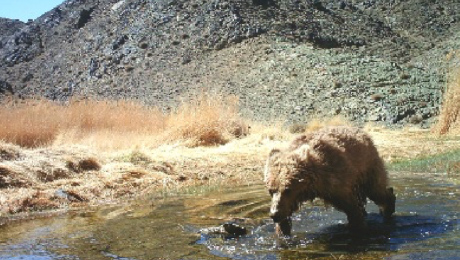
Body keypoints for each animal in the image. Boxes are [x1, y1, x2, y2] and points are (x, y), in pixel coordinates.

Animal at [264, 126, 398, 236]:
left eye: (288, 189)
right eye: (270, 190)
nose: (274, 214)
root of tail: (362, 132)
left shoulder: (335, 180)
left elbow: (351, 207)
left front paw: (358, 226)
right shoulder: (291, 200)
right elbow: (285, 215)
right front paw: (283, 231)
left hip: (367, 166)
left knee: (376, 190)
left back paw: (387, 208)